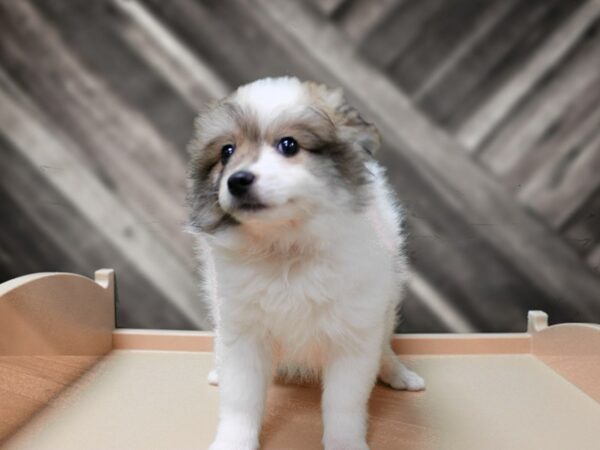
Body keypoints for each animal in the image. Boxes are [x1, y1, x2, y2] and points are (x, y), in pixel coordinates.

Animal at [185, 75, 424, 448]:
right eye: (226, 151)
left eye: (289, 145)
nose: (237, 180)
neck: (286, 247)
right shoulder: (244, 332)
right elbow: (240, 399)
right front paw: (233, 441)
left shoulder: (353, 334)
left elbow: (344, 402)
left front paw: (345, 443)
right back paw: (217, 369)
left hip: (385, 307)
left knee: (384, 345)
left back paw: (397, 373)